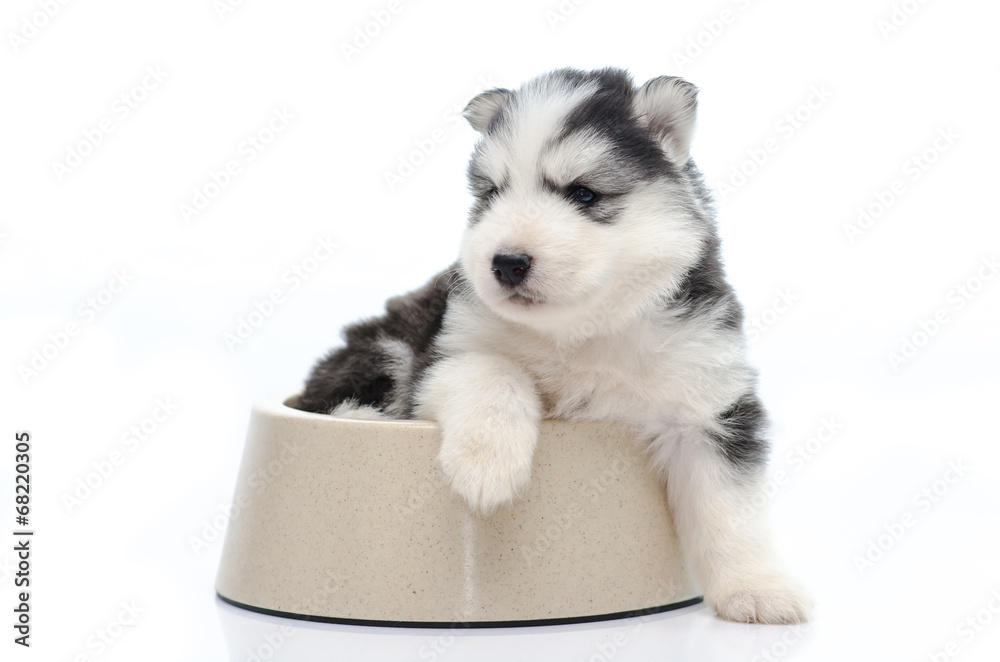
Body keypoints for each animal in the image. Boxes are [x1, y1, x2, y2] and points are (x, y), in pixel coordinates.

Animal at [298, 68, 812, 628]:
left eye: (583, 193)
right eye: (492, 192)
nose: (506, 262)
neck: (583, 331)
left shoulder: (709, 403)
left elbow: (730, 509)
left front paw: (757, 588)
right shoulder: (443, 355)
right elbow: (495, 373)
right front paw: (488, 463)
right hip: (385, 347)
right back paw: (365, 416)